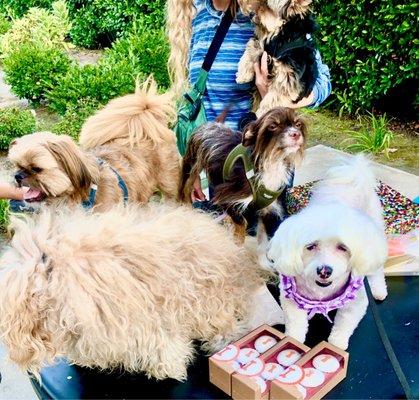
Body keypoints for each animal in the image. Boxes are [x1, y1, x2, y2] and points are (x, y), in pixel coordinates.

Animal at [268, 155, 388, 348]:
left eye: (343, 247)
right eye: (310, 246)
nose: (324, 270)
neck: (321, 294)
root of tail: (354, 173)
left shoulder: (355, 304)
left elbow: (343, 327)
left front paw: (335, 346)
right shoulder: (291, 301)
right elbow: (295, 326)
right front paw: (292, 341)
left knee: (376, 270)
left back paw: (378, 291)